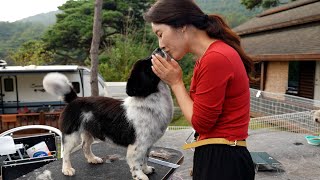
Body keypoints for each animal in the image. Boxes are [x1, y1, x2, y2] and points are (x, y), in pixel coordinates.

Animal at [42, 56, 174, 179]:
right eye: (149, 65)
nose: (159, 49)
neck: (149, 101)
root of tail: (75, 99)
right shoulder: (137, 145)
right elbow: (137, 163)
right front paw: (140, 176)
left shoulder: (147, 144)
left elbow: (145, 158)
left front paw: (146, 169)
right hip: (72, 136)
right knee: (66, 152)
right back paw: (67, 169)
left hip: (89, 132)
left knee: (85, 146)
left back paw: (92, 159)